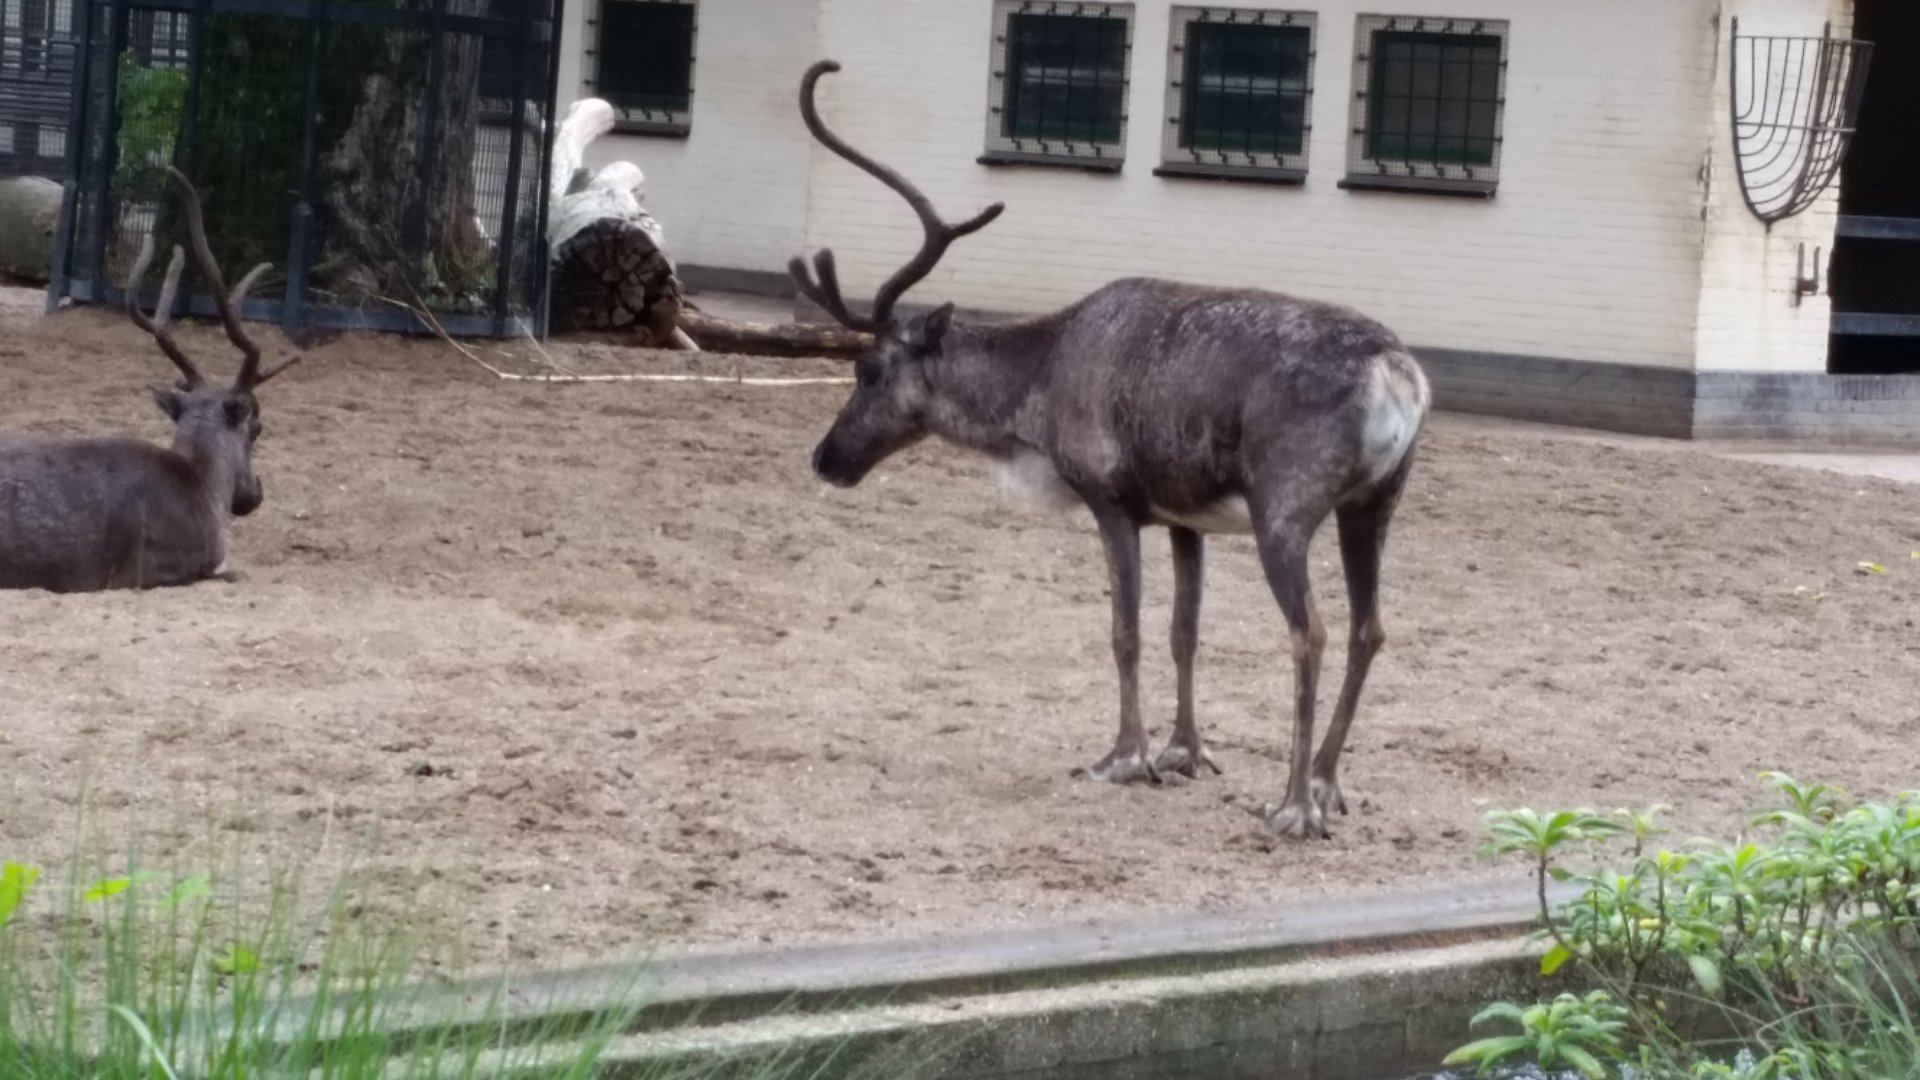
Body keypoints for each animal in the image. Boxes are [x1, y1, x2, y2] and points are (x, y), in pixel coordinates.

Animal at [792, 61, 1431, 840]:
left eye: (869, 370)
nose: (827, 458)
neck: (1038, 384)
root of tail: (1397, 373)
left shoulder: (1111, 501)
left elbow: (1124, 630)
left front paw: (1124, 757)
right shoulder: (1186, 518)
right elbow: (1184, 629)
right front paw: (1185, 750)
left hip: (1285, 512)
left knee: (1312, 632)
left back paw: (1293, 805)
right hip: (1373, 505)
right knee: (1371, 628)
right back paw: (1327, 782)